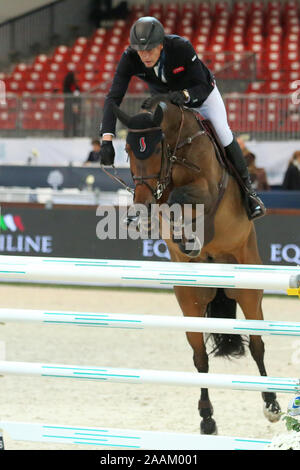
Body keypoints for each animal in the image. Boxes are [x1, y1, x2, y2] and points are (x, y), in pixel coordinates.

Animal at [112, 96, 282, 436]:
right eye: (127, 150)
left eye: (156, 149)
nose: (140, 206)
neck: (179, 147)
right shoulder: (160, 193)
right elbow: (169, 204)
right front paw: (178, 235)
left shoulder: (207, 188)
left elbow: (181, 196)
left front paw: (186, 233)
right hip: (190, 299)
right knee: (200, 357)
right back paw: (207, 418)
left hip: (249, 290)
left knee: (257, 345)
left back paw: (271, 404)